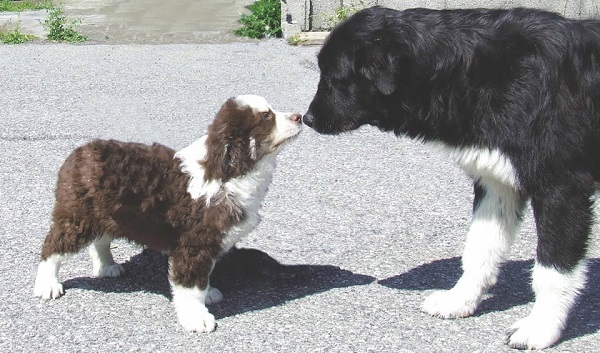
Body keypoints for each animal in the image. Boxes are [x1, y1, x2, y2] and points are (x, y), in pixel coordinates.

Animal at [32, 95, 302, 332]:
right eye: (266, 117)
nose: (299, 117)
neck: (231, 172)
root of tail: (79, 152)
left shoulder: (210, 242)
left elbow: (205, 275)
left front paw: (209, 293)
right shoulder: (194, 244)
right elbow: (192, 285)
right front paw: (198, 319)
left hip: (106, 213)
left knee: (100, 239)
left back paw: (106, 266)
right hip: (78, 215)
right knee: (53, 247)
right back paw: (48, 285)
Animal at [304, 5, 600, 350]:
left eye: (335, 77)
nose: (308, 118)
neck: (490, 71)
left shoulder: (561, 189)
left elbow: (552, 272)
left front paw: (540, 328)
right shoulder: (497, 182)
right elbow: (478, 249)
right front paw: (460, 300)